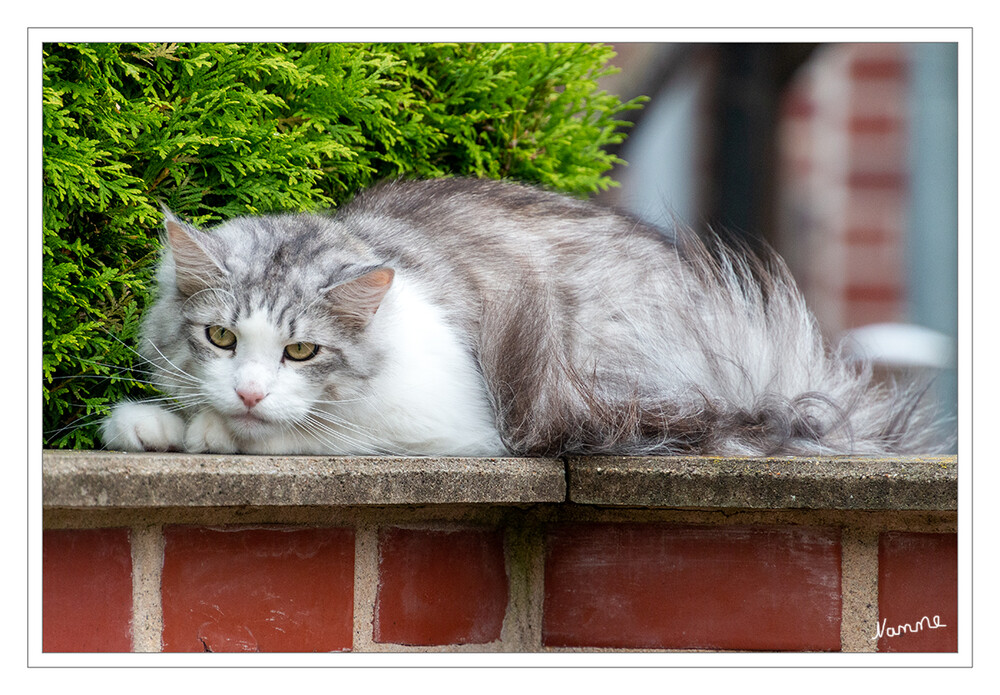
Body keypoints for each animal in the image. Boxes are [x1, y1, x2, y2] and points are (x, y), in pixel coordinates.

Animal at [101, 177, 952, 456]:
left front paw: (214, 431)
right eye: (220, 337)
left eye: (303, 352)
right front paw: (153, 423)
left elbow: (314, 433)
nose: (247, 391)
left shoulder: (453, 425)